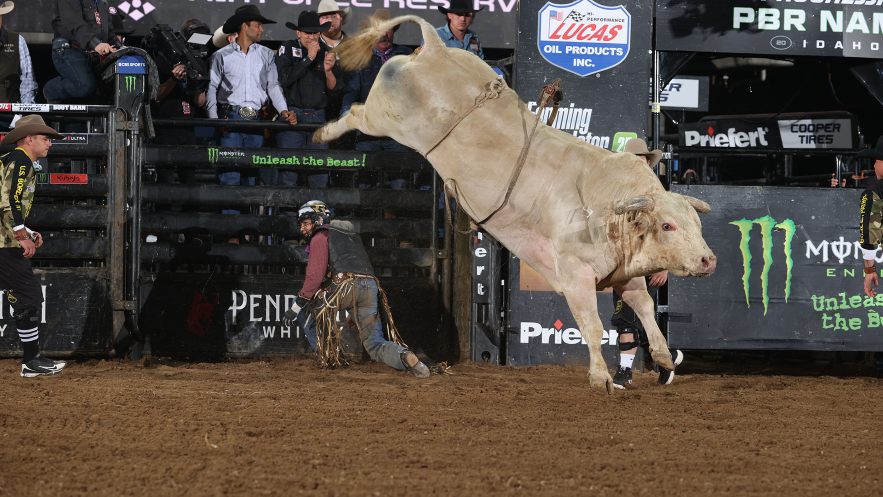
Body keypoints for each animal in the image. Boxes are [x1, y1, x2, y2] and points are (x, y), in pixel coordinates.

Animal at [314, 15, 717, 393]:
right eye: (667, 225)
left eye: (697, 225)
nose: (708, 260)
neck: (607, 204)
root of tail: (435, 49)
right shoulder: (575, 274)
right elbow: (592, 325)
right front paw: (601, 377)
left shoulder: (622, 271)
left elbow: (644, 306)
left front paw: (664, 358)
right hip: (384, 117)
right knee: (356, 112)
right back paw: (323, 132)